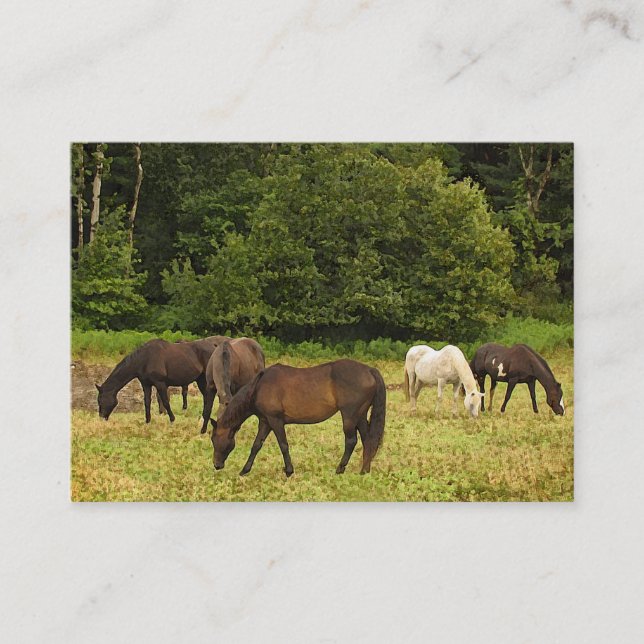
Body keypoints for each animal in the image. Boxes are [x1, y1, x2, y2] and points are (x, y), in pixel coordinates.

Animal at [96, 336, 229, 423]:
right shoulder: (146, 384)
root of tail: (215, 347)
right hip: (200, 379)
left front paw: (172, 419)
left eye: (100, 400)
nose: (101, 417)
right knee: (206, 396)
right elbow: (147, 402)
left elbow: (165, 401)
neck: (145, 359)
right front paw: (148, 421)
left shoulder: (160, 383)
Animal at [209, 359, 386, 477]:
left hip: (350, 416)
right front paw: (245, 470)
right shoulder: (265, 422)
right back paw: (364, 470)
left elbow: (283, 445)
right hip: (360, 416)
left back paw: (340, 468)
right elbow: (256, 445)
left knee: (351, 441)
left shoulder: (275, 421)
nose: (217, 465)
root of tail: (369, 370)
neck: (259, 387)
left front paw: (289, 471)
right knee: (368, 441)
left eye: (214, 439)